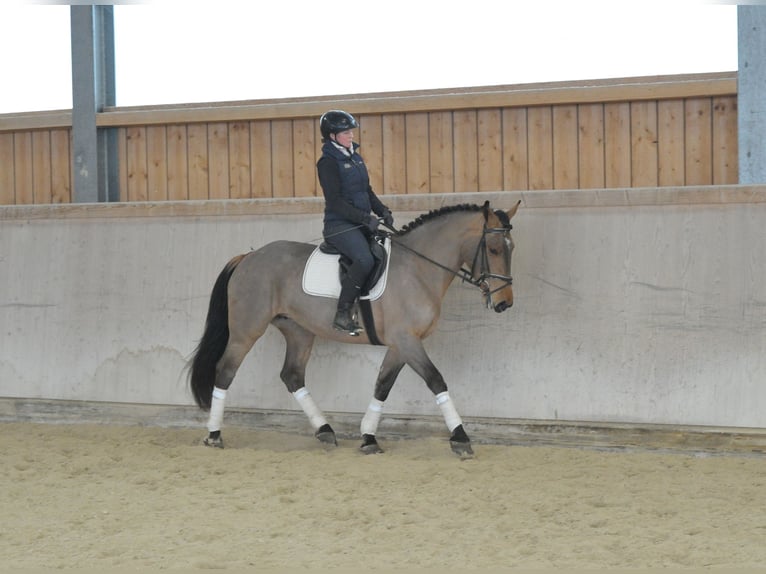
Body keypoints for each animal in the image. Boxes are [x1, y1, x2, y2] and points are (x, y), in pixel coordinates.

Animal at [188, 199, 521, 456]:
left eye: (511, 248)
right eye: (493, 249)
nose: (504, 303)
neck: (418, 269)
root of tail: (249, 256)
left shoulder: (401, 344)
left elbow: (382, 385)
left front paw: (369, 437)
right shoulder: (407, 340)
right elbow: (436, 381)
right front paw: (460, 437)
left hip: (299, 331)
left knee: (292, 375)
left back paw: (325, 430)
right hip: (247, 330)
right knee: (225, 371)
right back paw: (214, 435)